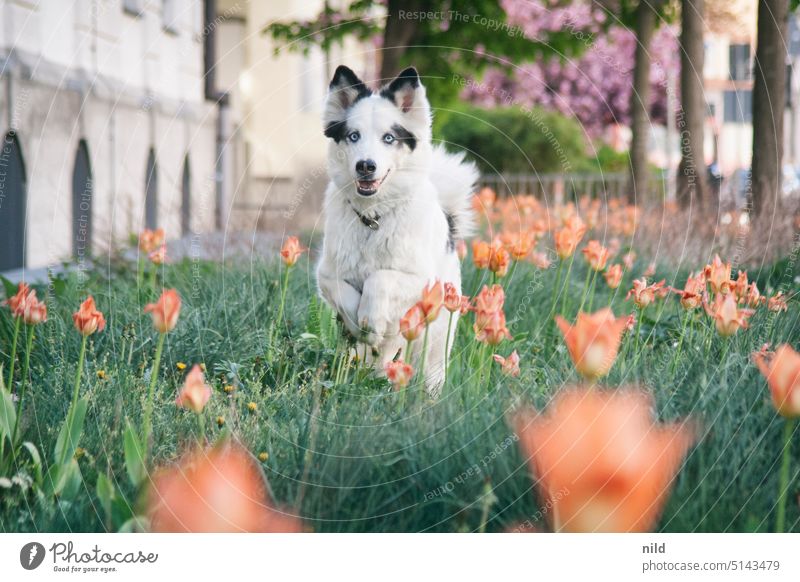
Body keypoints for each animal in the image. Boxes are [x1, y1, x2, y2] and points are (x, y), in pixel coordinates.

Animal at [316, 66, 478, 394]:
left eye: (388, 138)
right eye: (353, 136)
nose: (366, 166)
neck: (372, 219)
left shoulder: (419, 279)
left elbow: (380, 278)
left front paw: (371, 318)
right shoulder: (325, 273)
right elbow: (343, 291)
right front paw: (360, 323)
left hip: (435, 339)